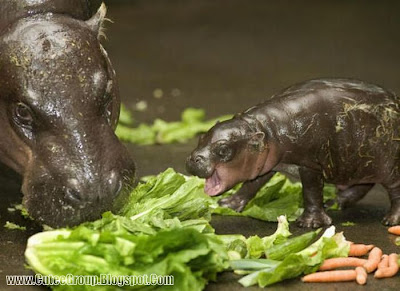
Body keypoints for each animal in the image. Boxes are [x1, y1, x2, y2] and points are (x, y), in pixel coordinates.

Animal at [186, 79, 400, 228]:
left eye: (223, 150)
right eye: (201, 137)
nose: (193, 158)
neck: (265, 128)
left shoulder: (309, 165)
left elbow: (311, 192)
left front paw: (309, 223)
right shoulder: (265, 164)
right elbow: (251, 185)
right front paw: (228, 204)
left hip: (390, 167)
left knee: (395, 192)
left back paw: (390, 221)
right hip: (358, 165)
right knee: (362, 185)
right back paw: (334, 203)